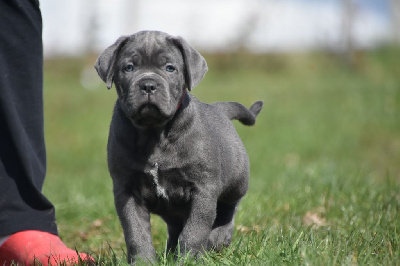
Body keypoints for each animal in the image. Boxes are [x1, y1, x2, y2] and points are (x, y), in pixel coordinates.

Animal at [94, 31, 262, 264]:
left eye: (169, 68)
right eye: (129, 67)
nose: (148, 85)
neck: (154, 133)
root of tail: (219, 109)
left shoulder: (203, 189)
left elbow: (194, 231)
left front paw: (190, 259)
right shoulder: (126, 191)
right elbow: (136, 232)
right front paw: (143, 262)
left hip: (237, 180)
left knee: (229, 207)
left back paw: (219, 238)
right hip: (172, 209)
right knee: (175, 227)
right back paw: (171, 252)